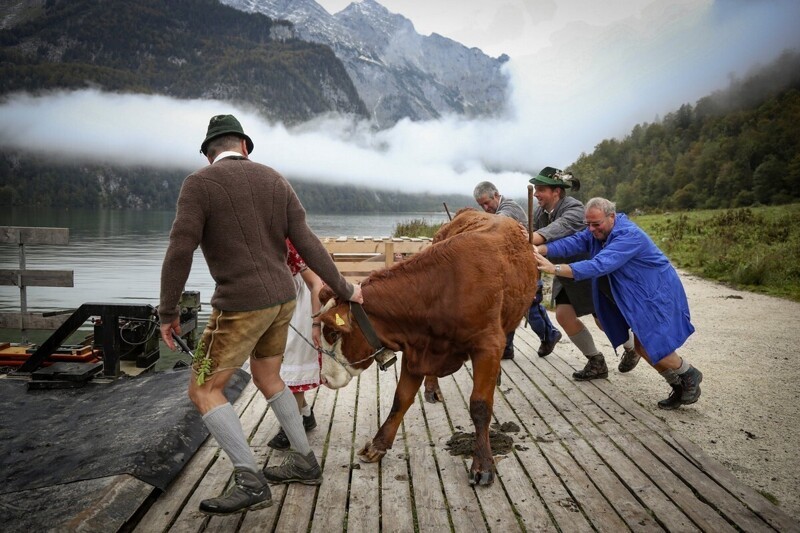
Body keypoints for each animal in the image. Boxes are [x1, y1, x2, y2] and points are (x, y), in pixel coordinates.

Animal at [316, 209, 536, 486]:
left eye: (333, 333)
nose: (324, 378)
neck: (441, 289)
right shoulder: (417, 349)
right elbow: (400, 398)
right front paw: (378, 444)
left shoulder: (488, 346)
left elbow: (480, 406)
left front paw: (483, 464)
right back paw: (432, 388)